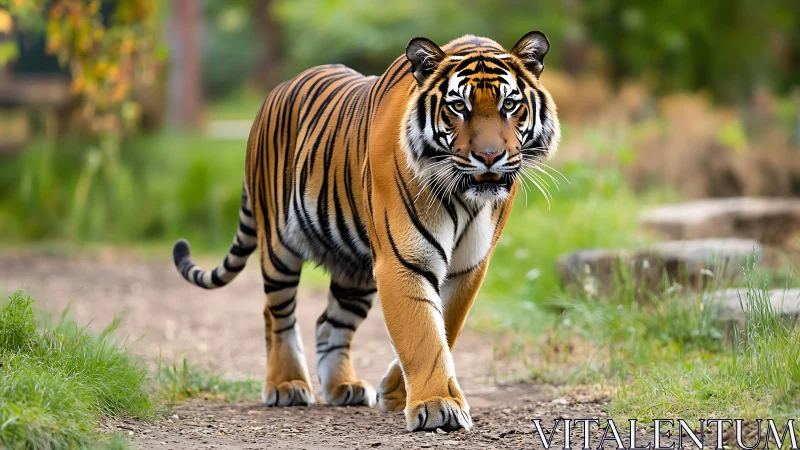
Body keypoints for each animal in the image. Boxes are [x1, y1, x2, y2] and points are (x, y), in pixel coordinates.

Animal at [172, 31, 559, 432]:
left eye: (509, 105)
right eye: (458, 107)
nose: (489, 157)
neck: (464, 197)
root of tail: (276, 91)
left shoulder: (469, 267)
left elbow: (446, 327)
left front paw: (397, 392)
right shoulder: (403, 260)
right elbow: (422, 334)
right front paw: (437, 404)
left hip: (354, 272)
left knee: (329, 322)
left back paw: (343, 387)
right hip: (278, 246)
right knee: (276, 312)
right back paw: (286, 384)